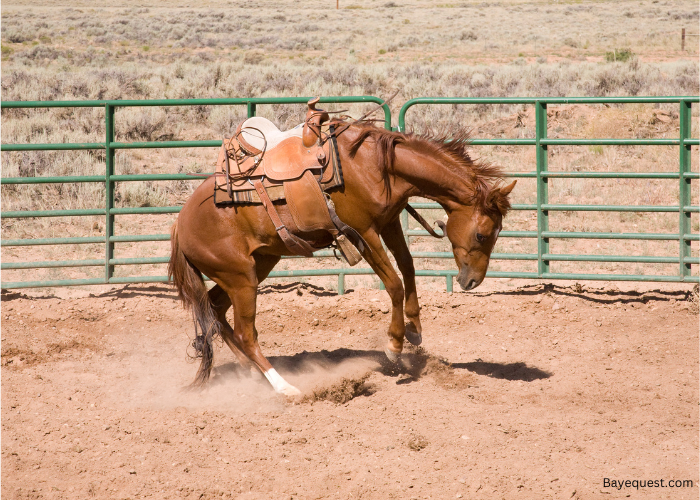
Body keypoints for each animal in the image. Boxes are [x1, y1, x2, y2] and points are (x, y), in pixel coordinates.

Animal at [169, 121, 516, 394]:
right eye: (482, 234)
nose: (472, 281)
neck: (376, 166)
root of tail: (181, 223)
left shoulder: (389, 222)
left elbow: (408, 267)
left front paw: (415, 328)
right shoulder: (363, 232)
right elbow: (394, 283)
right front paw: (394, 345)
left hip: (256, 265)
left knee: (216, 309)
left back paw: (250, 373)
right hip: (241, 278)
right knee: (245, 332)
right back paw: (284, 388)